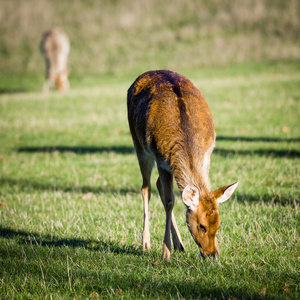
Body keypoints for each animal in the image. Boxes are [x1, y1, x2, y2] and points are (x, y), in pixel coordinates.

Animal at [127, 70, 239, 260]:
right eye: (201, 226)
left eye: (218, 223)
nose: (212, 254)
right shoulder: (160, 159)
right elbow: (170, 201)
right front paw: (165, 252)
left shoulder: (207, 157)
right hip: (138, 144)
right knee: (146, 188)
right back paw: (146, 243)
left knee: (156, 184)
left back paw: (179, 244)